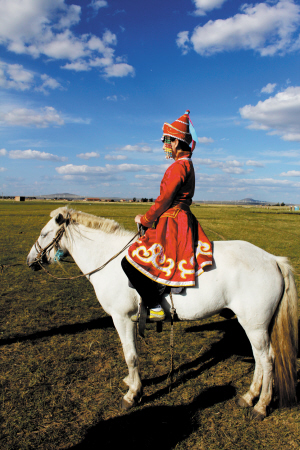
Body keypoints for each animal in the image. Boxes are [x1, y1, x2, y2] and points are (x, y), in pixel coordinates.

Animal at [26, 207, 298, 418]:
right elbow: (133, 353)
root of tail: (272, 259)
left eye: (43, 233)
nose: (30, 261)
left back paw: (261, 406)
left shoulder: (121, 318)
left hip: (255, 325)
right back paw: (249, 396)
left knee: (267, 359)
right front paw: (133, 383)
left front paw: (132, 395)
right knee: (259, 359)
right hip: (254, 325)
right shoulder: (130, 319)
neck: (108, 260)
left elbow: (130, 356)